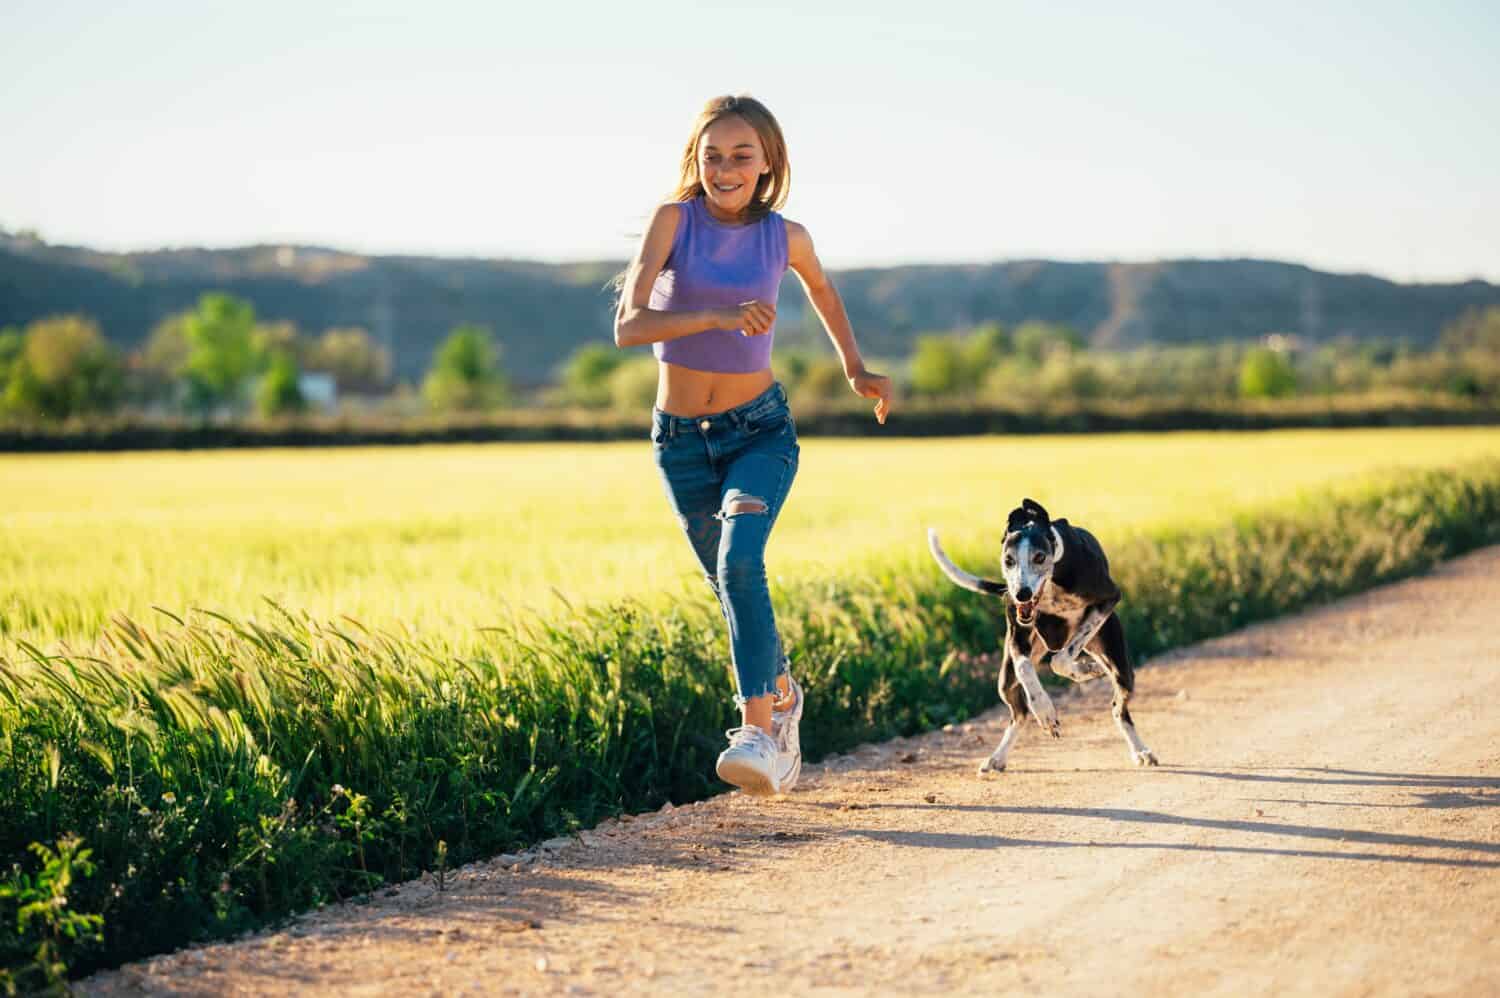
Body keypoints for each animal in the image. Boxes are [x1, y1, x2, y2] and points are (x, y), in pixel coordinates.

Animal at [924, 498, 1158, 768]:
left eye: (1039, 557)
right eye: (1009, 560)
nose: (1021, 594)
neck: (1053, 580)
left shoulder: (1109, 598)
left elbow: (1061, 659)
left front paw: (1083, 669)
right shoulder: (1018, 637)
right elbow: (1025, 668)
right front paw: (1045, 710)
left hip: (1118, 663)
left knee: (1118, 708)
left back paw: (1140, 750)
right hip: (1006, 680)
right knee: (1020, 714)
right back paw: (998, 756)